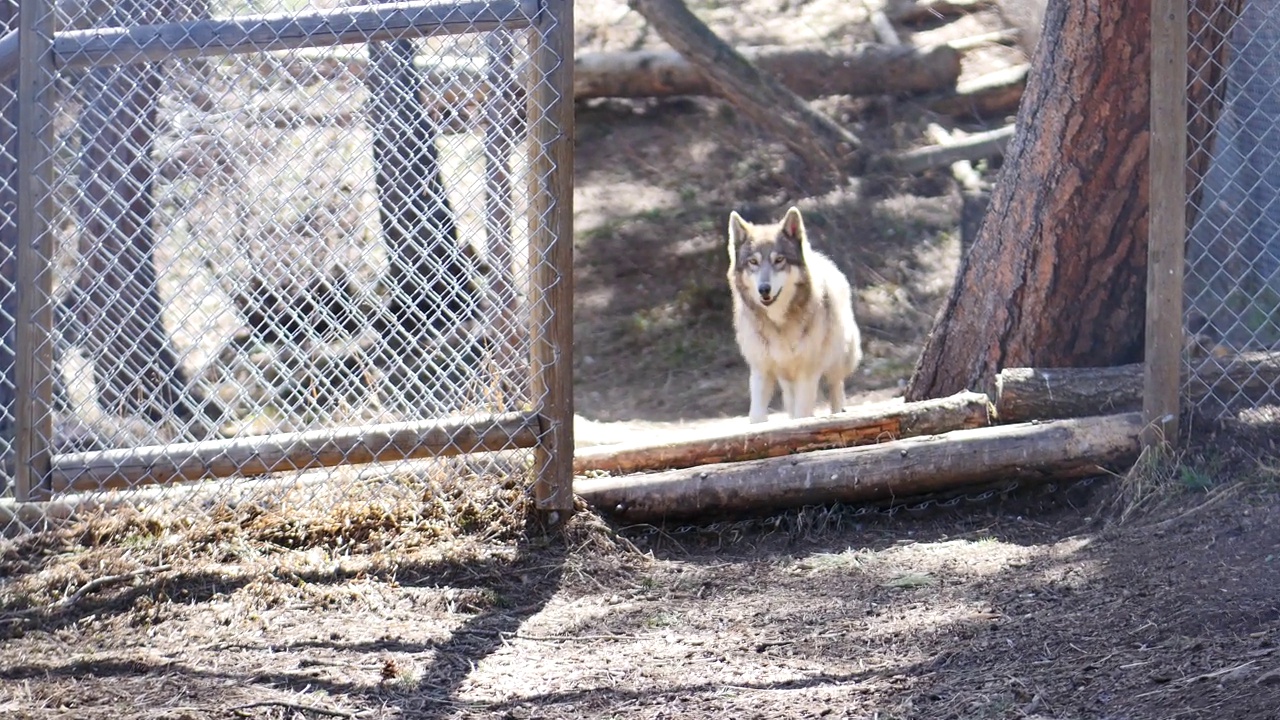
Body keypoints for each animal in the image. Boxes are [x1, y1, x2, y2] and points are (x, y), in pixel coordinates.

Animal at [727, 204, 865, 422]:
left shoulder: (806, 375)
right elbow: (756, 416)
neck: (779, 324)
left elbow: (803, 415)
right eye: (753, 262)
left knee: (836, 390)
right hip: (786, 378)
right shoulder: (761, 371)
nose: (764, 289)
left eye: (779, 260)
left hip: (838, 362)